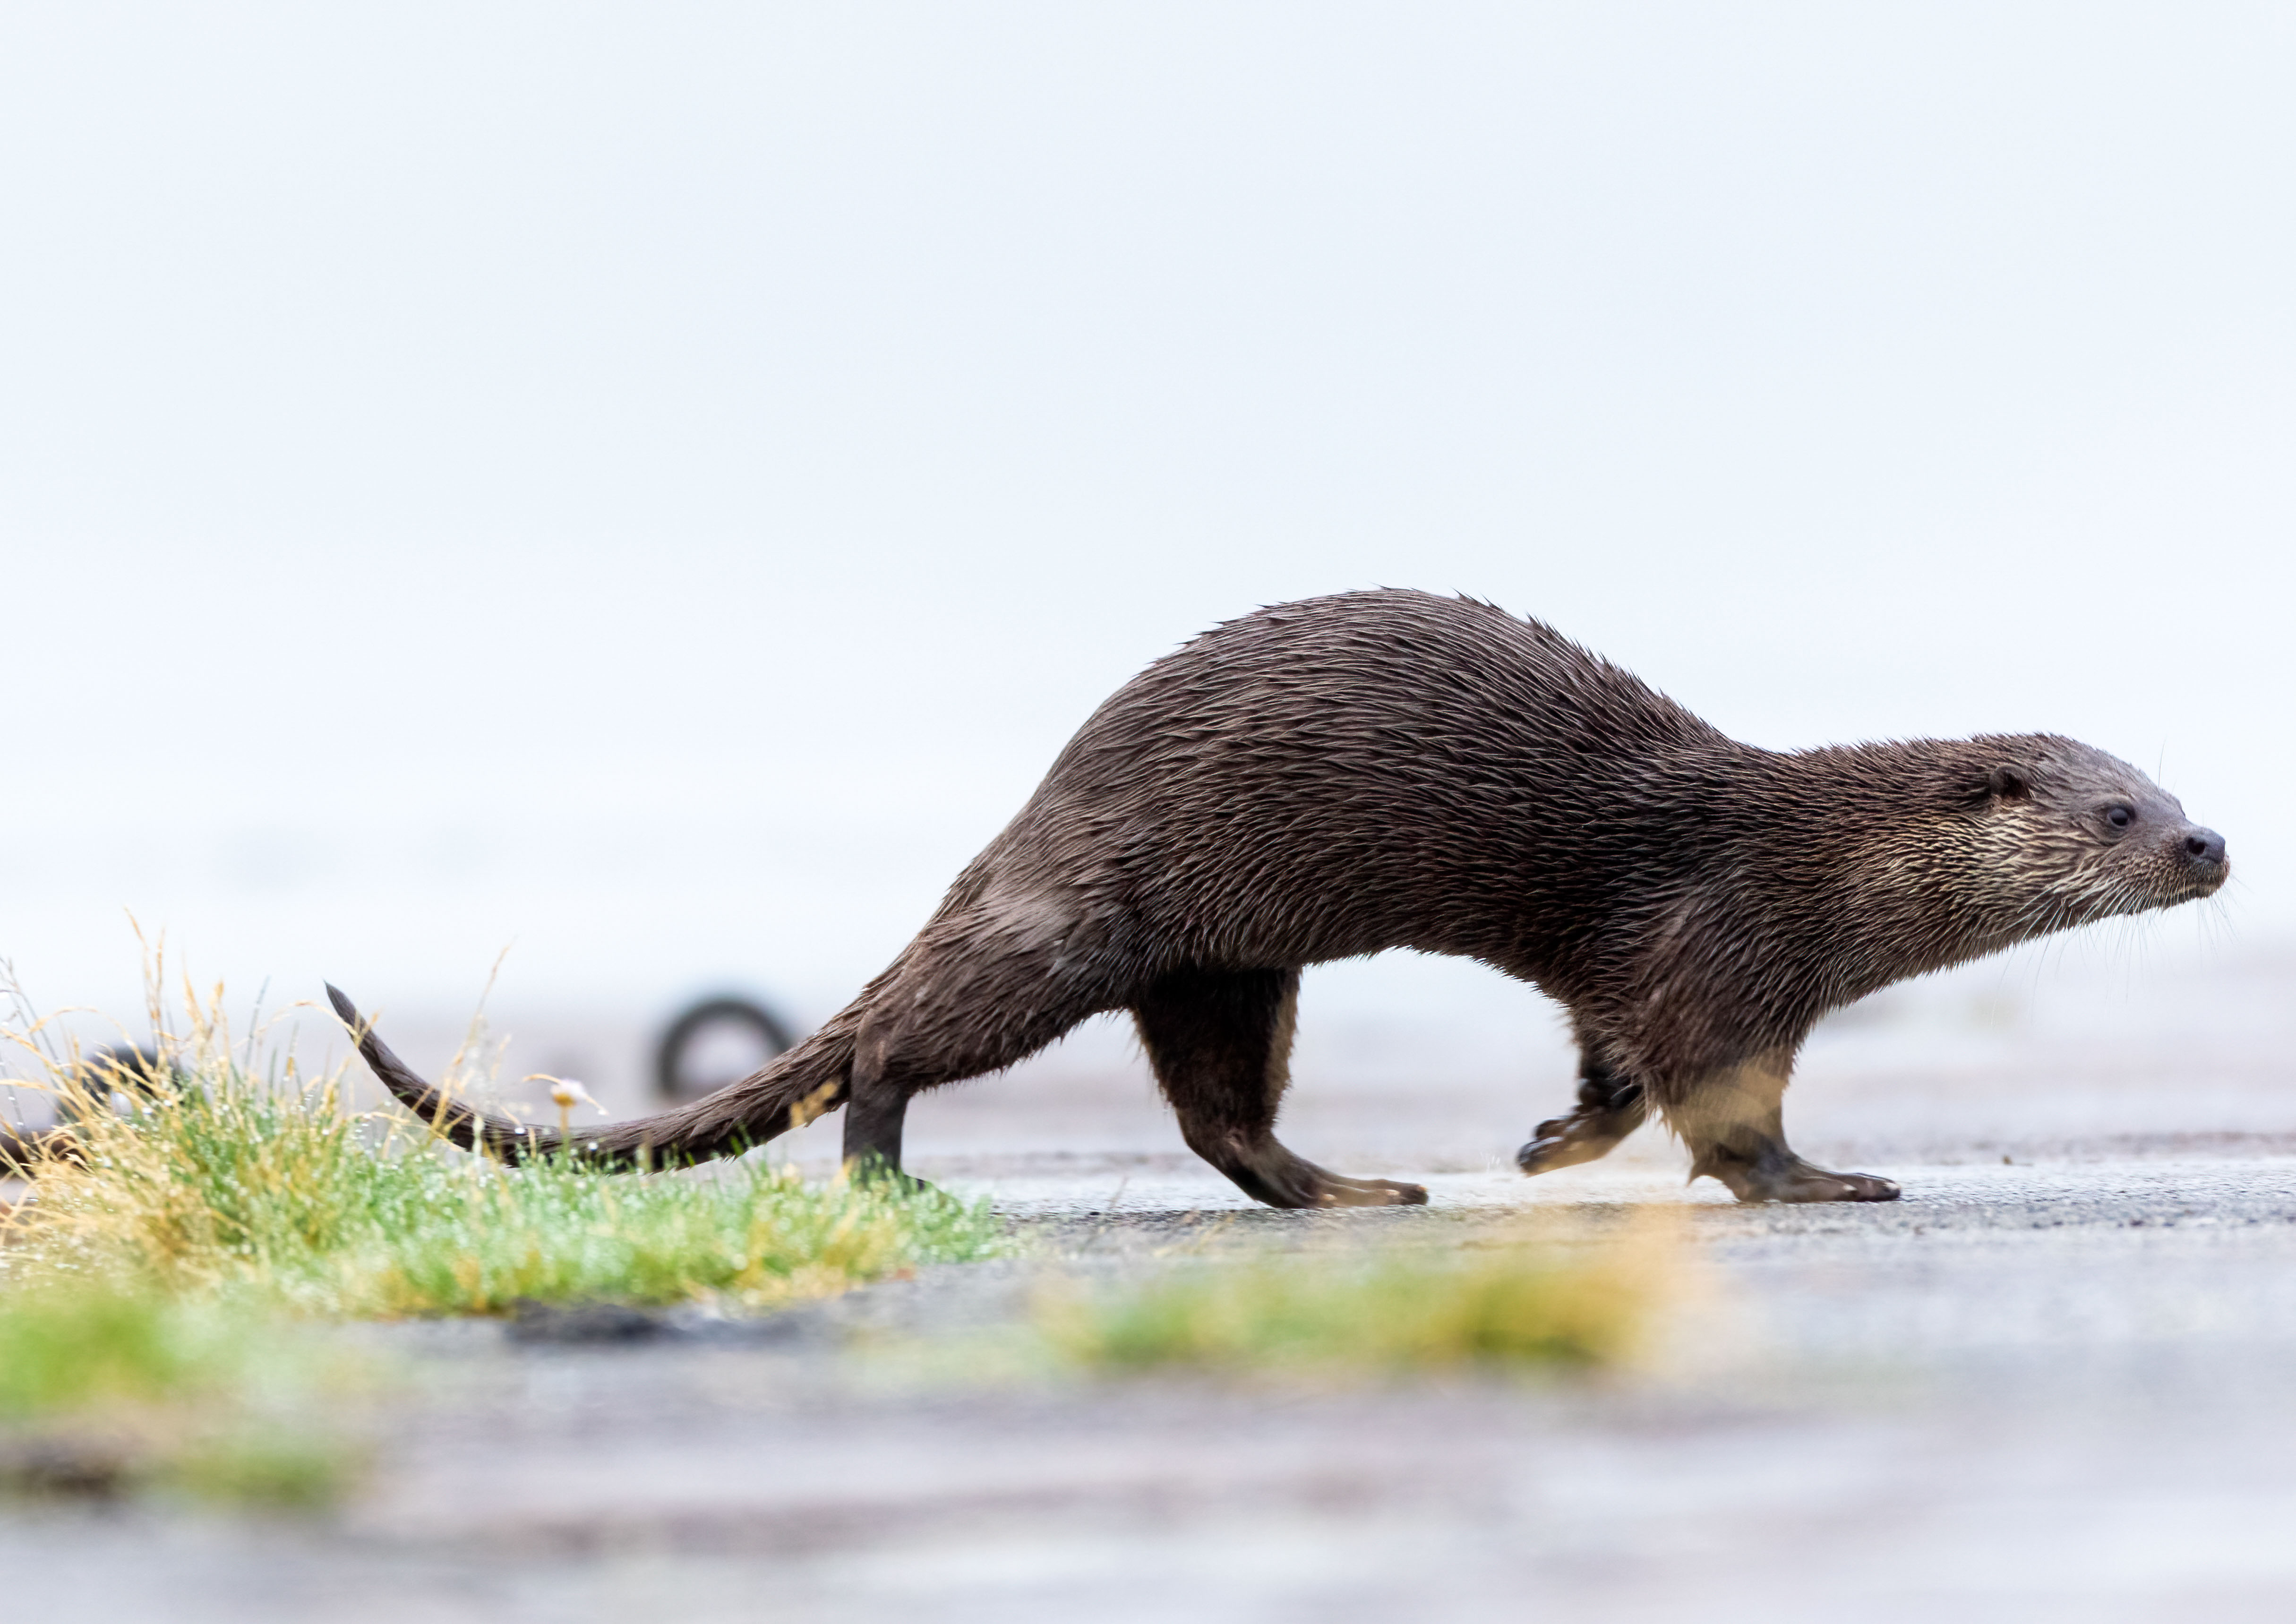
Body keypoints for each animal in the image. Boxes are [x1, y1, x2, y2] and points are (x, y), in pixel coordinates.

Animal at [329, 590, 2228, 1206]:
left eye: (2176, 790)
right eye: (2117, 810)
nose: (2210, 845)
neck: (1809, 861)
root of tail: (1032, 811)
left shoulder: (1643, 972)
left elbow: (1612, 1071)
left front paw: (1545, 1149)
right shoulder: (1720, 947)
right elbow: (1719, 1106)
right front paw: (1822, 1180)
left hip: (1226, 963)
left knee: (1218, 1114)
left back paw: (1350, 1189)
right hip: (1082, 920)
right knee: (894, 1043)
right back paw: (880, 1165)